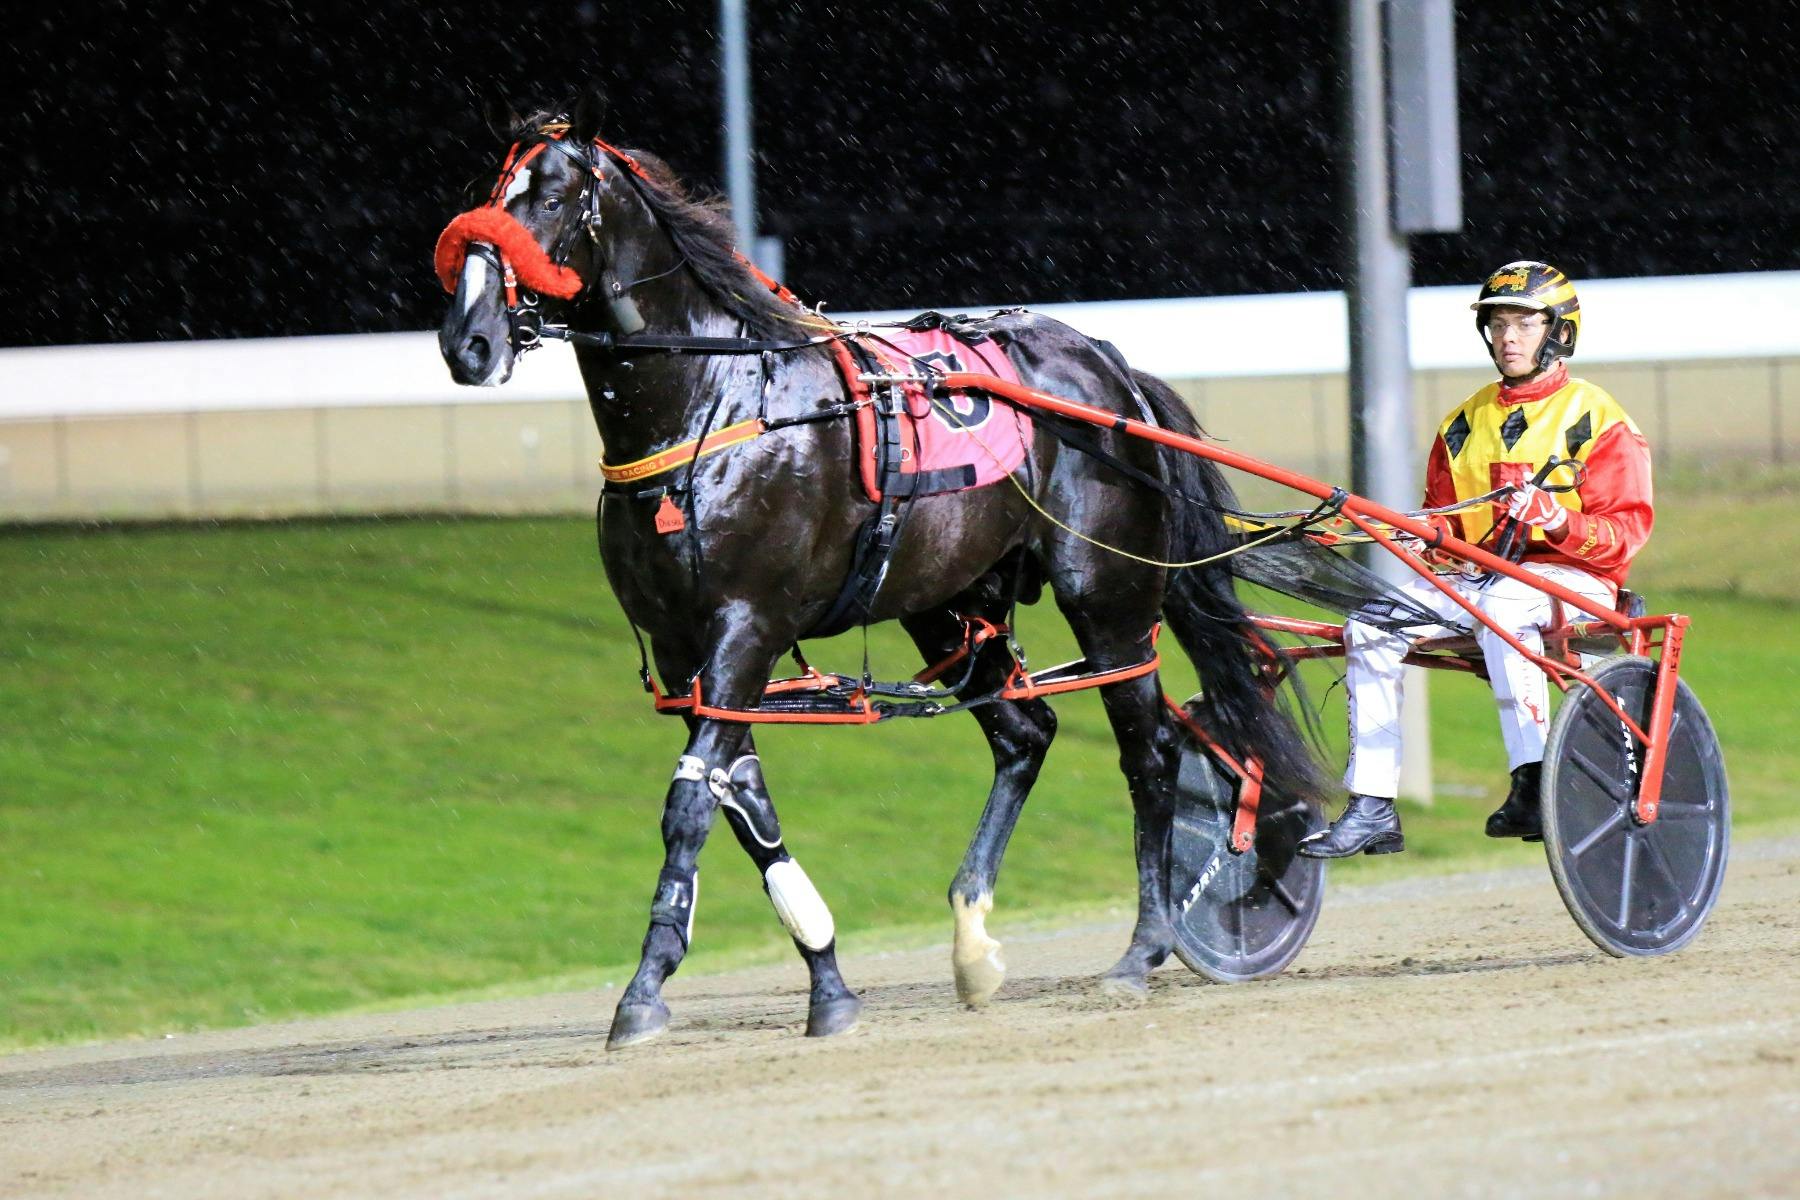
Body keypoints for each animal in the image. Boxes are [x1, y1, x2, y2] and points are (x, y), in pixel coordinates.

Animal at [436, 101, 1322, 1049]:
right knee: (1026, 732)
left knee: (1149, 752)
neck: (718, 399)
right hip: (948, 601)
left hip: (1108, 596)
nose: (467, 341)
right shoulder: (686, 652)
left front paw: (643, 991)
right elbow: (747, 809)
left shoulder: (747, 627)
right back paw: (972, 939)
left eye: (549, 198)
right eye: (487, 196)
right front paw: (828, 982)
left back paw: (1142, 950)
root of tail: (1107, 364)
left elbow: (690, 805)